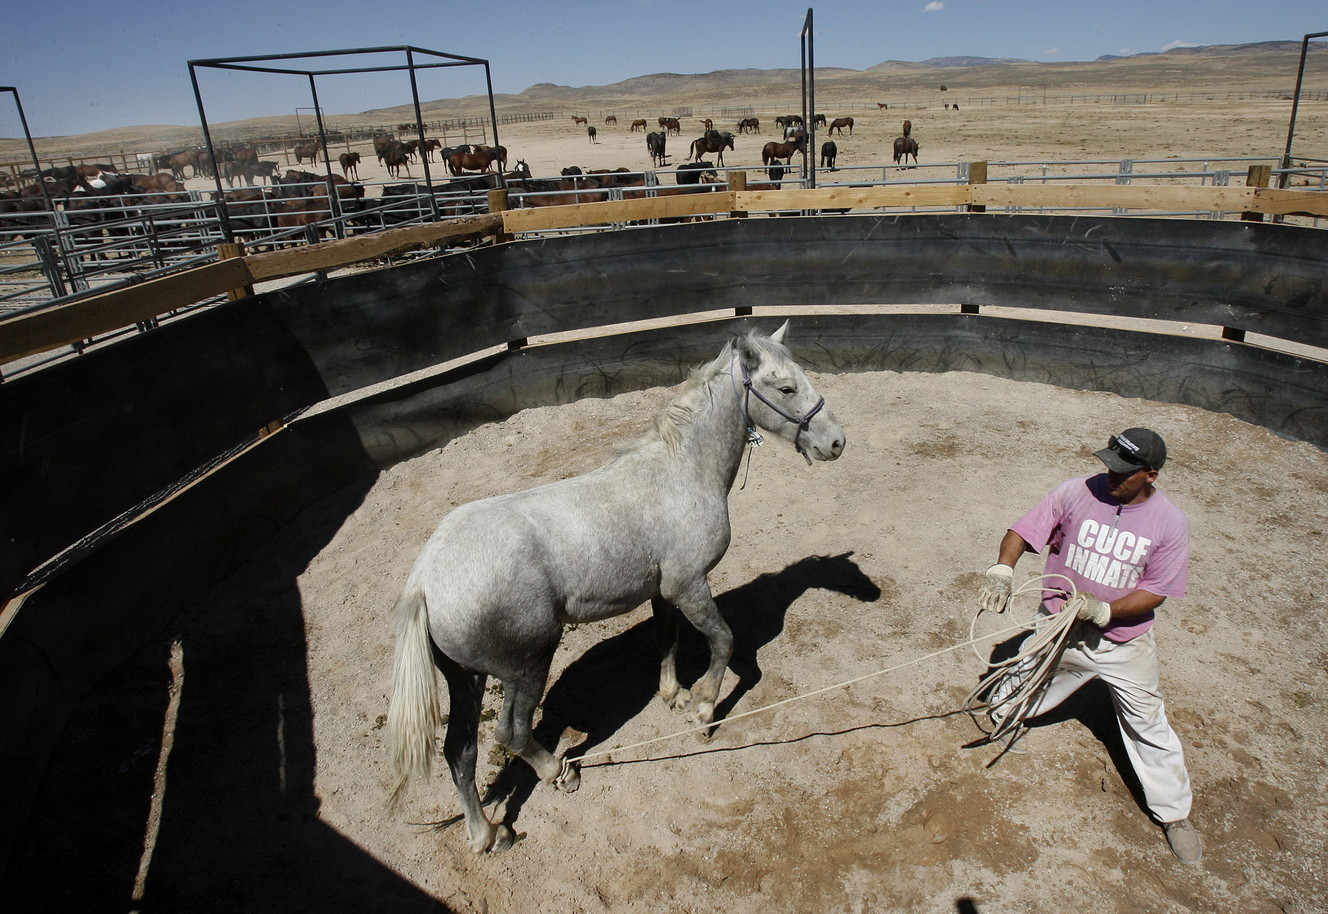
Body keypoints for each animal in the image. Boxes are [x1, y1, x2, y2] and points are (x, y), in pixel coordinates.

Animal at [386, 323, 845, 854]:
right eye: (786, 387)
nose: (837, 442)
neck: (681, 472)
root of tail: (425, 579)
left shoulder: (664, 593)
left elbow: (667, 640)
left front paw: (673, 695)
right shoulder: (690, 585)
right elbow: (724, 641)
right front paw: (704, 710)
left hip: (467, 680)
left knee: (460, 752)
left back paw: (487, 834)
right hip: (527, 666)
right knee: (510, 734)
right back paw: (559, 773)